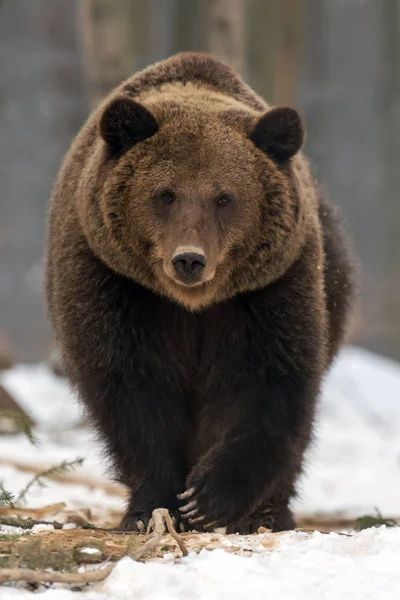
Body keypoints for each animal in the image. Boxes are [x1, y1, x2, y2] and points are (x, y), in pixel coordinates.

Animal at [45, 50, 354, 528]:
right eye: (165, 194)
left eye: (224, 197)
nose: (189, 259)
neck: (192, 305)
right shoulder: (115, 284)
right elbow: (132, 390)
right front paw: (154, 506)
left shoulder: (268, 291)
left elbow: (269, 381)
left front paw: (208, 497)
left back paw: (270, 513)